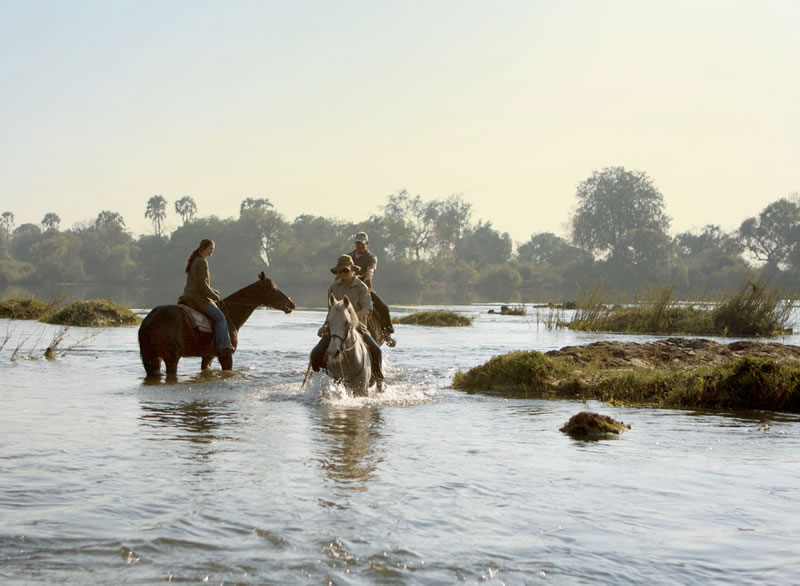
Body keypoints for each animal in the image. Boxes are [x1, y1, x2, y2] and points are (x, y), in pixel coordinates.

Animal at [138, 271, 295, 377]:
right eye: (273, 289)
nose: (291, 303)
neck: (230, 314)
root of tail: (149, 321)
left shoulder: (208, 356)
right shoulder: (226, 355)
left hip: (153, 358)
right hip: (171, 359)